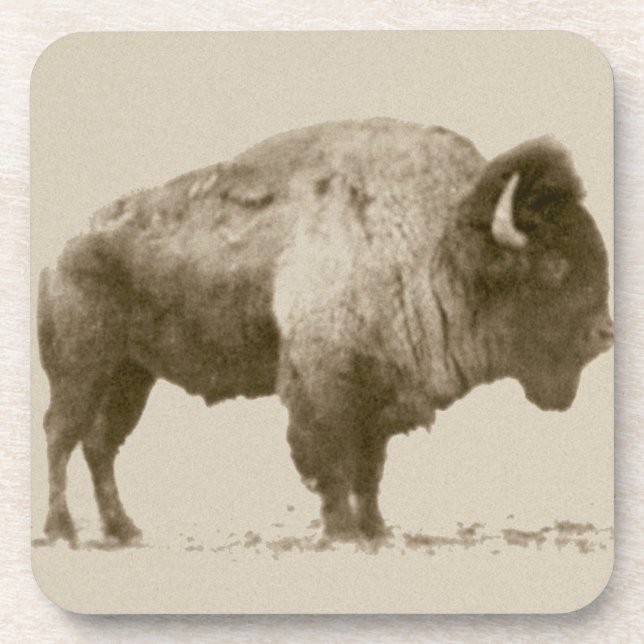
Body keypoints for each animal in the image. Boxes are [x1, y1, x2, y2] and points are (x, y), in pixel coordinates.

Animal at [38, 118, 613, 545]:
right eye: (554, 266)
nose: (605, 334)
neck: (436, 247)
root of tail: (63, 251)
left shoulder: (379, 398)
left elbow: (369, 470)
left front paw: (377, 530)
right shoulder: (324, 388)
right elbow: (332, 462)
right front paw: (343, 533)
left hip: (131, 376)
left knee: (100, 445)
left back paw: (123, 529)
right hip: (81, 371)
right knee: (62, 435)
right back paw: (62, 530)